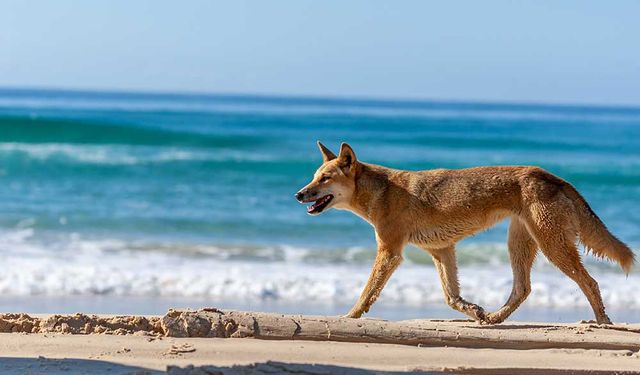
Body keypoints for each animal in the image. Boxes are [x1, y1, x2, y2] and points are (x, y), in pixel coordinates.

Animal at [296, 142, 636, 324]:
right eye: (314, 177)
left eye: (324, 179)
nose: (299, 194)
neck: (382, 192)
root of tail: (552, 176)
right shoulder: (442, 251)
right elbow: (451, 297)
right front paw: (473, 310)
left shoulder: (390, 252)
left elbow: (367, 292)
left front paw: (349, 317)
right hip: (521, 243)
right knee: (523, 289)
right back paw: (495, 319)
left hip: (552, 246)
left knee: (589, 282)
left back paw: (602, 323)